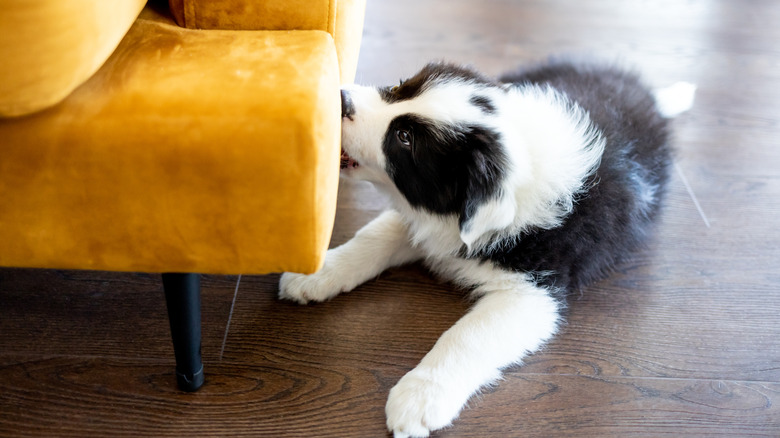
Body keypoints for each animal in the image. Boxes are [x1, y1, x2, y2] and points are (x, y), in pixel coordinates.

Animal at [278, 60, 696, 436]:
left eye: (405, 138)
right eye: (399, 88)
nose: (340, 97)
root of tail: (643, 93)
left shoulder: (531, 291)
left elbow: (467, 336)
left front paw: (420, 399)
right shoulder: (429, 224)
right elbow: (373, 238)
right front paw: (314, 273)